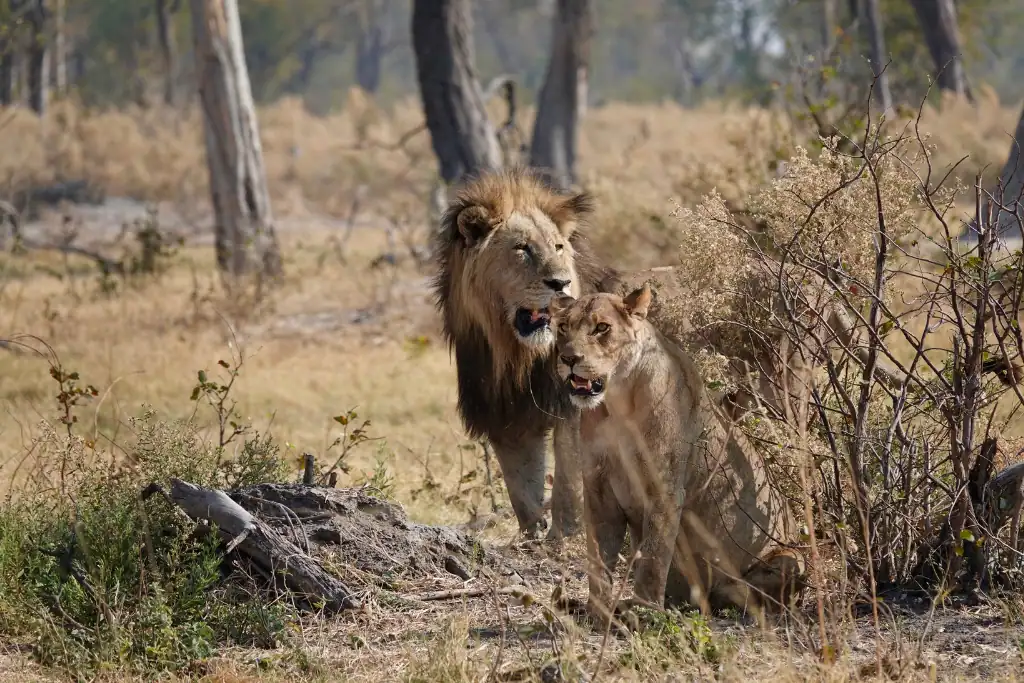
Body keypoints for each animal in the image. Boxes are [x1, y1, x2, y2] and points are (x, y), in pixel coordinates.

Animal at [550, 284, 806, 622]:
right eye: (564, 327)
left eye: (602, 328)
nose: (568, 358)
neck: (617, 402)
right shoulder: (598, 489)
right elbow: (599, 558)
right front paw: (598, 612)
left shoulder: (664, 488)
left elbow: (653, 559)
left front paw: (644, 612)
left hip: (790, 559)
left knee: (750, 594)